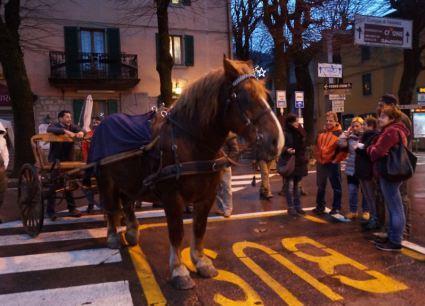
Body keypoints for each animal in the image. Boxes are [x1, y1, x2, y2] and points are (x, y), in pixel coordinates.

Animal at [94, 57, 284, 290]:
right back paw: (113, 236)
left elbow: (199, 228)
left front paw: (200, 262)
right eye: (244, 96)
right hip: (106, 180)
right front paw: (179, 270)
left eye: (266, 95)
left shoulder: (207, 196)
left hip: (130, 181)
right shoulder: (172, 198)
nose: (277, 141)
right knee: (110, 208)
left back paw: (131, 232)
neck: (190, 144)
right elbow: (177, 232)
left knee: (127, 203)